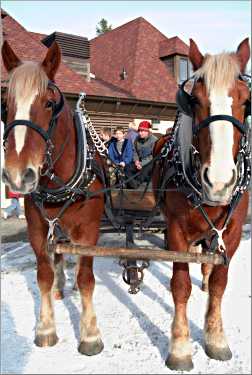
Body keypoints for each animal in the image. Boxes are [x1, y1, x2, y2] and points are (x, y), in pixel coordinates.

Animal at [1, 41, 105, 356]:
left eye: (48, 103)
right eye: (5, 105)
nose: (18, 175)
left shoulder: (89, 232)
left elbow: (86, 278)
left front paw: (90, 334)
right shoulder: (37, 230)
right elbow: (44, 275)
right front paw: (46, 327)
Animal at [153, 38, 251, 370]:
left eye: (246, 101)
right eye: (194, 101)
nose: (219, 182)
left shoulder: (232, 231)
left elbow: (220, 282)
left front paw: (216, 338)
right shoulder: (176, 229)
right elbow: (179, 284)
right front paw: (181, 346)